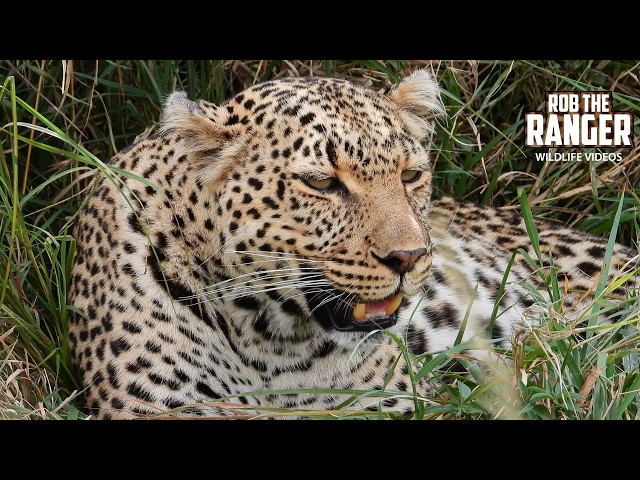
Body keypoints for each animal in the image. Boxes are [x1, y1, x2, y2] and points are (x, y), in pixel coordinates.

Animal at [68, 69, 639, 419]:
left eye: (410, 175)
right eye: (322, 183)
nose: (409, 257)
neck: (267, 342)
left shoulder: (383, 404)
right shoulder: (161, 408)